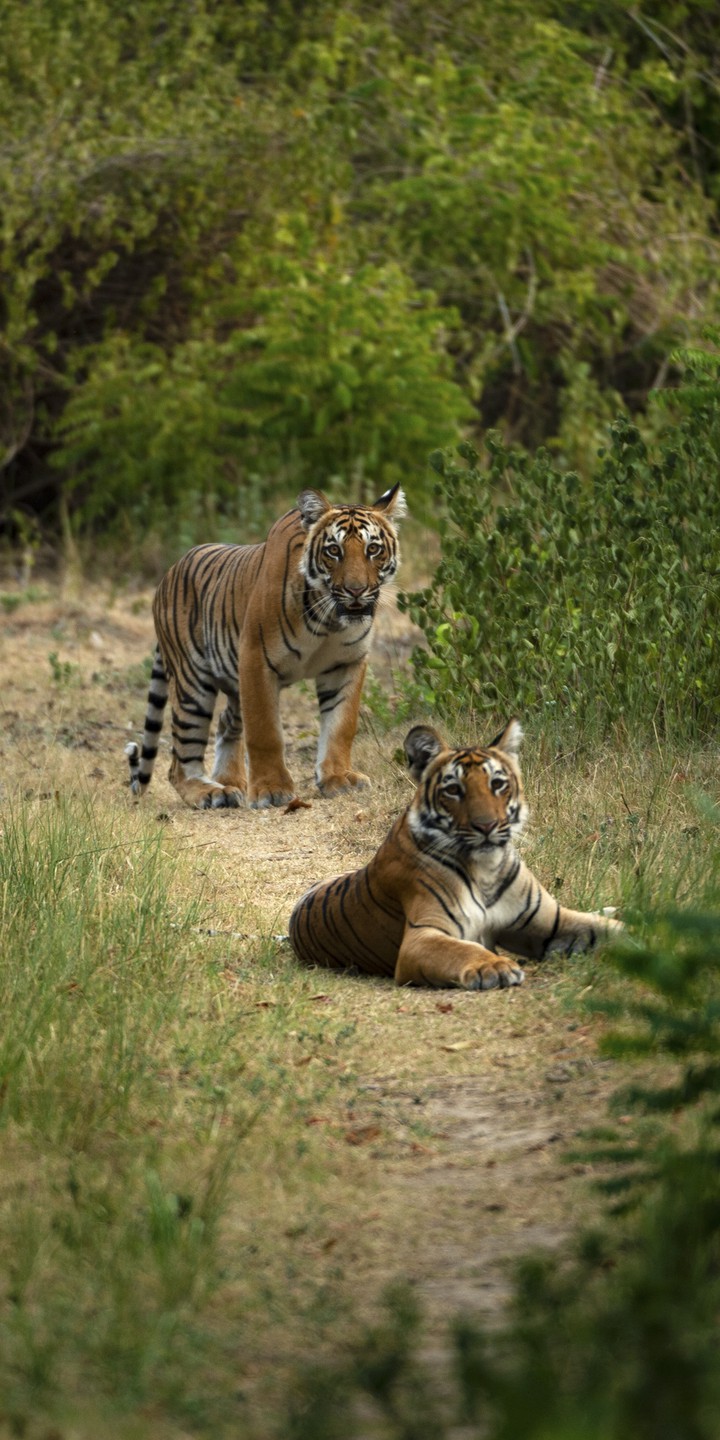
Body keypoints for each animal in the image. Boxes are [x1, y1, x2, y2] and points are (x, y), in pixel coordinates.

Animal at [125, 485, 405, 810]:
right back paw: (211, 792)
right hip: (192, 684)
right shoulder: (256, 661)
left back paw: (231, 782)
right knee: (179, 761)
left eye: (372, 549)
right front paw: (272, 790)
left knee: (225, 723)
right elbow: (265, 732)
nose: (356, 590)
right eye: (334, 550)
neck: (329, 620)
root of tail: (168, 574)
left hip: (232, 683)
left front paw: (338, 778)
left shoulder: (346, 664)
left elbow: (341, 725)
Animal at [288, 720, 622, 989]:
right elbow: (463, 949)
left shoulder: (551, 920)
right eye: (453, 790)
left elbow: (606, 929)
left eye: (497, 784)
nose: (486, 825)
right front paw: (494, 966)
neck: (487, 868)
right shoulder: (422, 937)